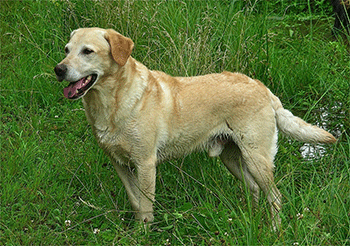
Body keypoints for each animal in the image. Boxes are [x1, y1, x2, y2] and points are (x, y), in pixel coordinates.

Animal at [54, 27, 336, 230]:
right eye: (67, 50)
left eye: (88, 51)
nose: (59, 69)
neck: (111, 103)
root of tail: (262, 87)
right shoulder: (120, 164)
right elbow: (135, 202)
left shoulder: (145, 164)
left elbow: (145, 207)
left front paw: (142, 234)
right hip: (232, 158)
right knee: (254, 189)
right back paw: (252, 218)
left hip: (257, 158)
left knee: (275, 197)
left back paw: (274, 230)